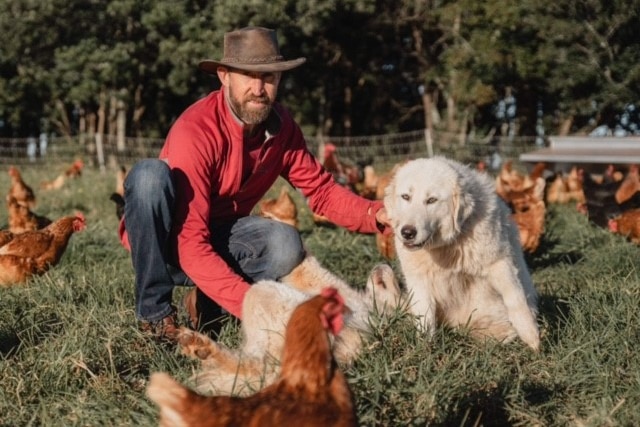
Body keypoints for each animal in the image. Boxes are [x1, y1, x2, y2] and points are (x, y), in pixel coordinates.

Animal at [178, 256, 402, 396]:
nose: (385, 264)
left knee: (256, 365)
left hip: (264, 292)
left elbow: (309, 268)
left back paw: (199, 346)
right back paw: (199, 347)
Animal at [384, 157, 540, 352]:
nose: (407, 232)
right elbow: (424, 315)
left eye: (431, 200)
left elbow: (515, 298)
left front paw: (531, 335)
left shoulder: (499, 262)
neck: (446, 247)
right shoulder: (418, 280)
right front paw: (425, 348)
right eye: (406, 197)